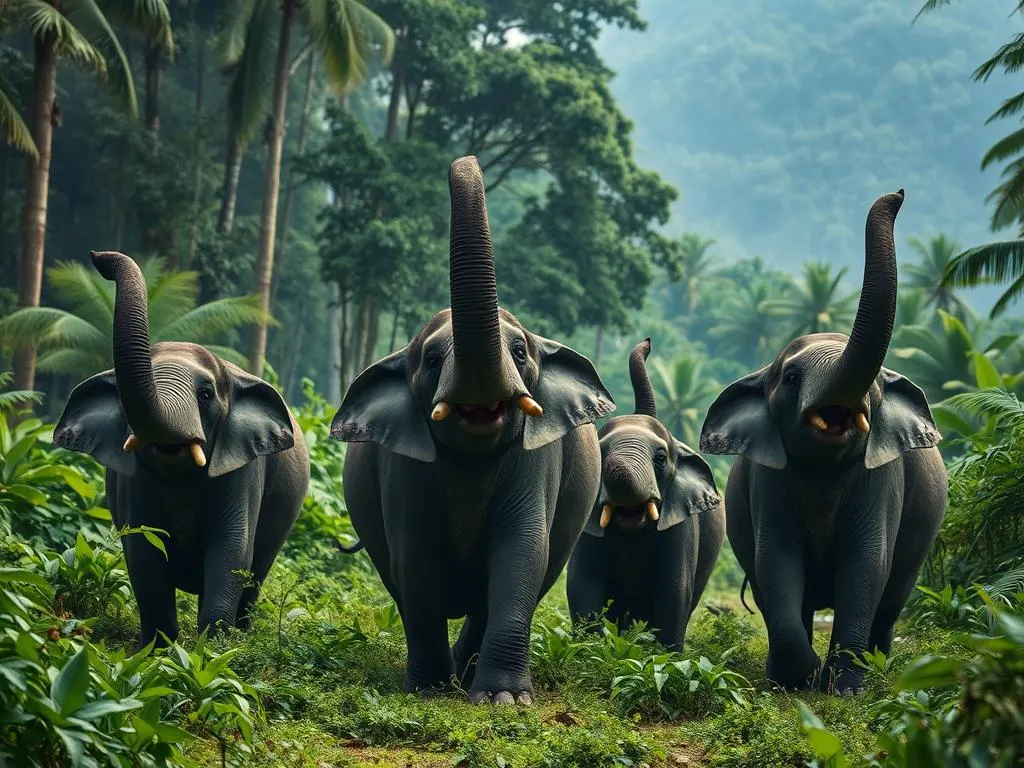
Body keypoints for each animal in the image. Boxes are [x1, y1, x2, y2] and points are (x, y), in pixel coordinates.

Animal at [53, 251, 310, 647]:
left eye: (205, 394)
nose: (98, 258)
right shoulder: (133, 479)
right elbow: (143, 546)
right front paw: (158, 648)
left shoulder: (243, 468)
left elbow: (232, 548)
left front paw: (213, 648)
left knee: (258, 568)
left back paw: (242, 633)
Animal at [330, 156, 615, 705]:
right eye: (431, 361)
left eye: (520, 352)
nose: (464, 161)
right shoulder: (403, 464)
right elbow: (414, 556)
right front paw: (426, 691)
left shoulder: (535, 456)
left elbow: (522, 552)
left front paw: (504, 700)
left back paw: (469, 677)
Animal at [567, 338, 724, 651]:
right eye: (600, 455)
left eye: (661, 459)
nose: (648, 341)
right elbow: (582, 583)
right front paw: (590, 647)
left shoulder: (681, 527)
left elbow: (674, 590)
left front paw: (666, 654)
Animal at [698, 189, 948, 695]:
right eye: (792, 377)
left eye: (876, 386)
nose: (898, 195)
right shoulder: (769, 481)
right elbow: (776, 562)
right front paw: (800, 680)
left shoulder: (882, 479)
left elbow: (867, 565)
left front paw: (846, 687)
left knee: (892, 598)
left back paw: (877, 663)